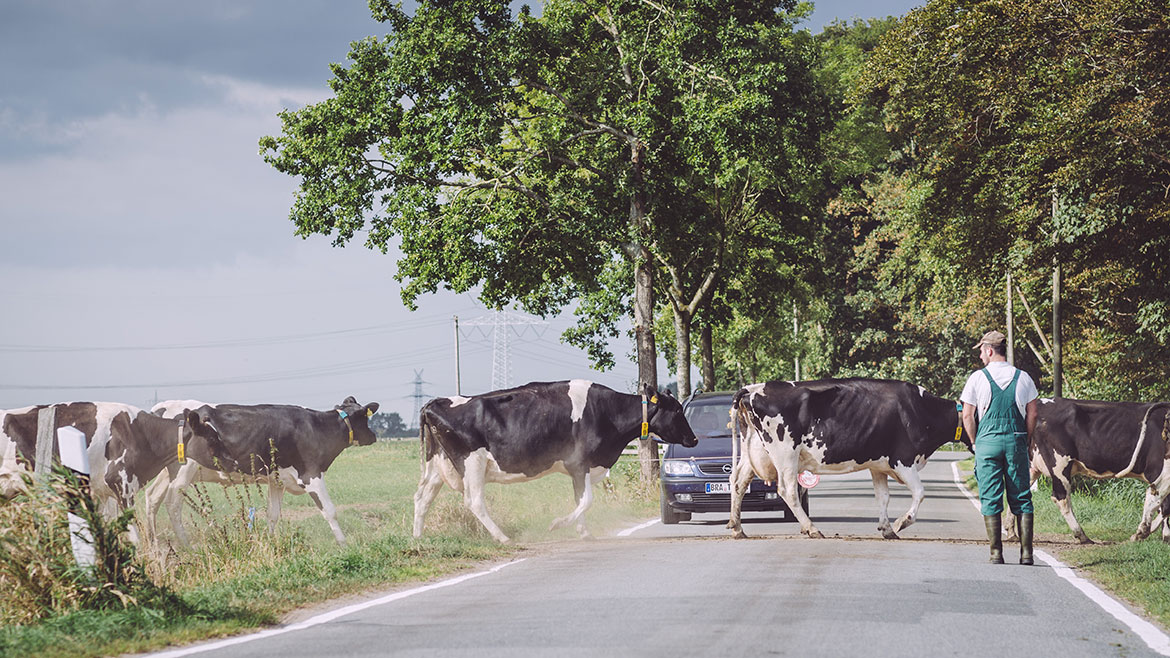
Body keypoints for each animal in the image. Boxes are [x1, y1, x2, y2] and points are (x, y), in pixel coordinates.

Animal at [0, 400, 225, 538]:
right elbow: (133, 533)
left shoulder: (99, 493)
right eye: (213, 439)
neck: (138, 433)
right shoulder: (122, 485)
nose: (231, 461)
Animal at [730, 377, 968, 536]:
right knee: (787, 490)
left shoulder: (878, 465)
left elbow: (883, 496)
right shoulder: (903, 460)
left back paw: (737, 528)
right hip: (785, 452)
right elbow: (920, 492)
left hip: (752, 452)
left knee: (738, 482)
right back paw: (812, 529)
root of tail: (754, 388)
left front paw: (886, 528)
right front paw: (902, 522)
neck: (920, 411)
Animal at [1029, 393, 1165, 543]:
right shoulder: (1162, 473)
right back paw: (1082, 535)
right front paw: (1143, 533)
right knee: (1061, 498)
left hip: (1033, 465)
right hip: (1059, 465)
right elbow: (1157, 501)